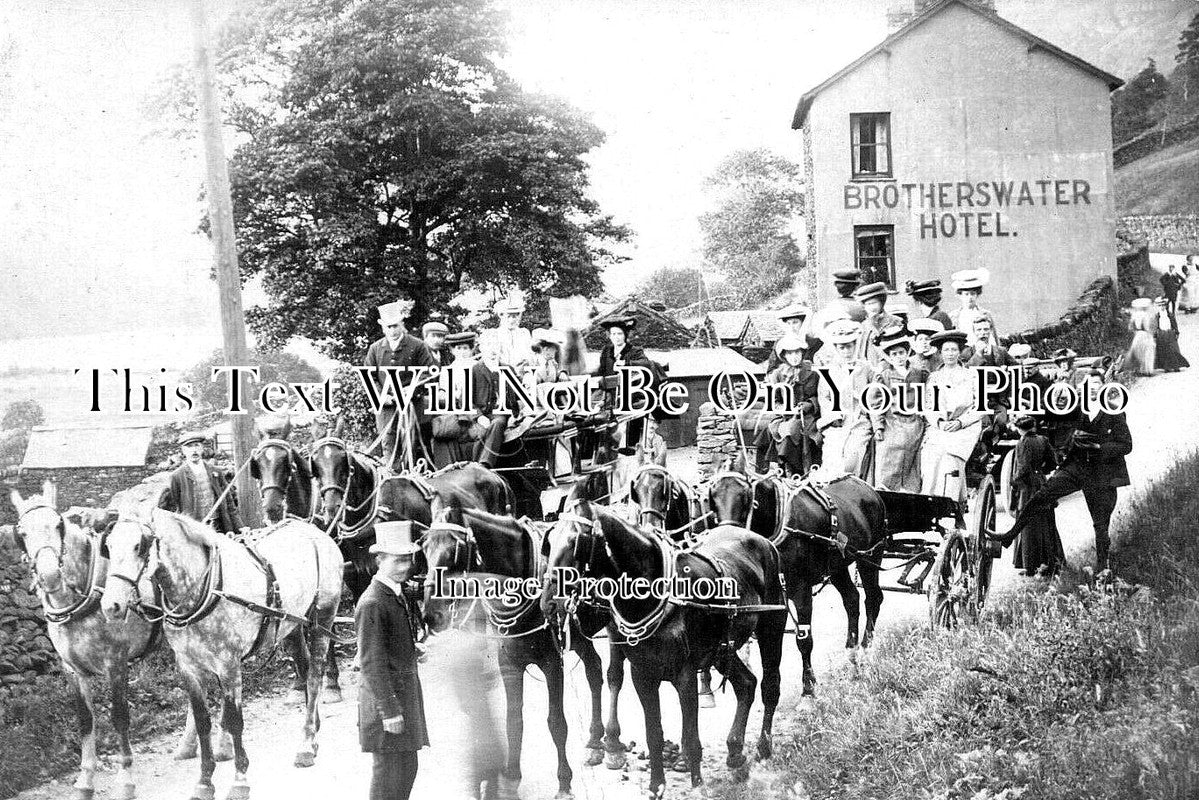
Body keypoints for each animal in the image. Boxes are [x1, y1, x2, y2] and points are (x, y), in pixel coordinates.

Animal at [422, 510, 609, 796]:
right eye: (424, 548)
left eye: (455, 550)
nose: (430, 615)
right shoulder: (509, 664)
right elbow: (513, 721)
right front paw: (511, 776)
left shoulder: (553, 663)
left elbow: (556, 722)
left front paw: (564, 782)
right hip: (578, 636)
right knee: (595, 670)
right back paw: (594, 740)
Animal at [541, 503, 786, 796]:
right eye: (548, 543)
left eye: (574, 542)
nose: (547, 604)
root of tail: (763, 542)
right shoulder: (642, 675)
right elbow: (653, 733)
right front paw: (656, 785)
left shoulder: (686, 675)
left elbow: (691, 737)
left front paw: (697, 786)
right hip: (721, 651)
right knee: (746, 684)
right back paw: (736, 752)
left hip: (772, 628)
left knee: (770, 685)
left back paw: (763, 746)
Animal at [705, 455, 887, 700]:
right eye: (712, 497)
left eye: (745, 496)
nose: (726, 535)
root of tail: (868, 488)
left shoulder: (800, 590)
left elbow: (804, 640)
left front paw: (808, 689)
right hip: (837, 566)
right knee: (851, 599)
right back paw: (852, 652)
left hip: (871, 556)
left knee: (873, 597)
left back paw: (867, 648)